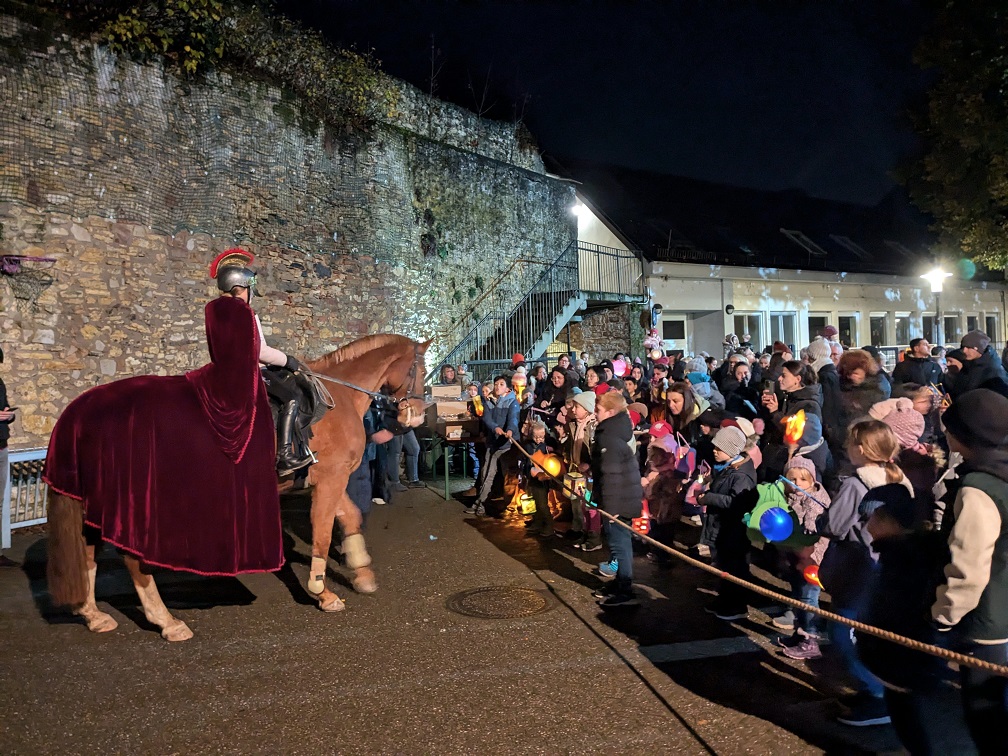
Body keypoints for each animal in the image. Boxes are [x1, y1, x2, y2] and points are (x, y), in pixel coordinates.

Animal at [46, 330, 429, 641]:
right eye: (420, 370)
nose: (416, 418)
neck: (338, 395)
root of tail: (86, 409)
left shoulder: (330, 478)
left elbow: (348, 517)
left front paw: (362, 572)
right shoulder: (331, 478)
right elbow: (322, 532)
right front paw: (322, 592)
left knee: (87, 548)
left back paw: (93, 614)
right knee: (130, 557)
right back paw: (166, 621)